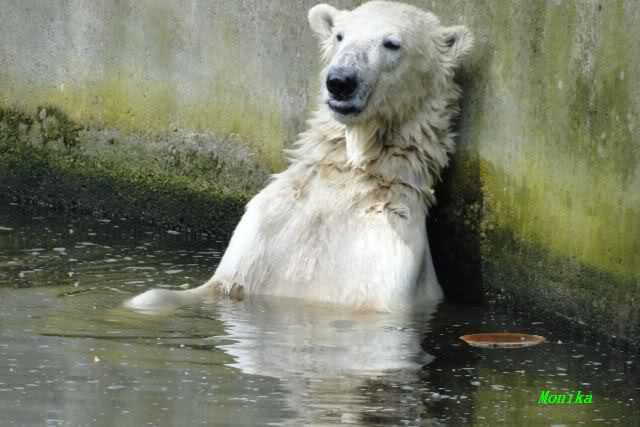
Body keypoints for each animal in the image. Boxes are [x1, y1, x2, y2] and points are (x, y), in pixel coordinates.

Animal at [126, 1, 473, 313]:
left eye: (391, 43)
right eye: (340, 36)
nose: (340, 81)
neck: (345, 183)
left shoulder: (385, 258)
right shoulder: (269, 231)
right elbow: (201, 288)